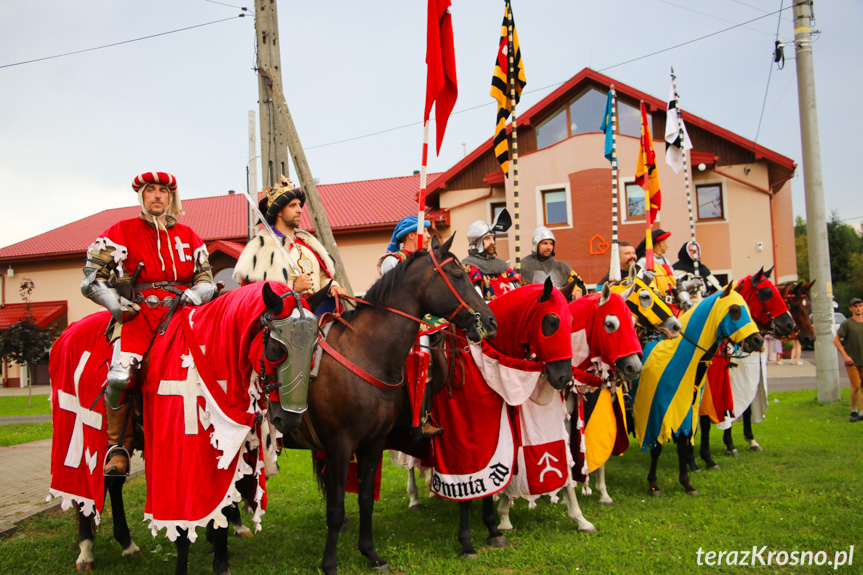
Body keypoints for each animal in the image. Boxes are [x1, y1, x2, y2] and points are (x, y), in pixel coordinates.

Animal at [48, 278, 310, 572]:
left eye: (314, 349)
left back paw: (126, 543)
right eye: (278, 349)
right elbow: (184, 523)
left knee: (113, 481)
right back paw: (86, 549)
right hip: (81, 431)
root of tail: (66, 334)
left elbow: (222, 507)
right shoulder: (178, 456)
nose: (289, 418)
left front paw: (221, 560)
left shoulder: (224, 453)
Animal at [274, 235, 496, 575]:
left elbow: (365, 499)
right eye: (459, 276)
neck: (366, 352)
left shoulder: (373, 443)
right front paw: (330, 564)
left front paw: (371, 554)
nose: (490, 322)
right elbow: (335, 507)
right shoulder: (340, 445)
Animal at [496, 286, 644, 532]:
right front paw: (505, 516)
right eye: (610, 324)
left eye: (633, 322)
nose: (635, 367)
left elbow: (571, 461)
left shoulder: (566, 421)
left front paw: (578, 514)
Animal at [632, 284, 768, 496]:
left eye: (747, 307)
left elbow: (683, 442)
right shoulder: (655, 411)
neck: (677, 357)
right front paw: (654, 484)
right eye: (734, 310)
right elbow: (657, 447)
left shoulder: (686, 408)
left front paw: (686, 482)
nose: (757, 341)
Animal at [696, 268, 796, 470]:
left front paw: (744, 442)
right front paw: (710, 455)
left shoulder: (742, 382)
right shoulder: (712, 387)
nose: (790, 325)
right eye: (767, 292)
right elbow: (709, 419)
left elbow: (744, 409)